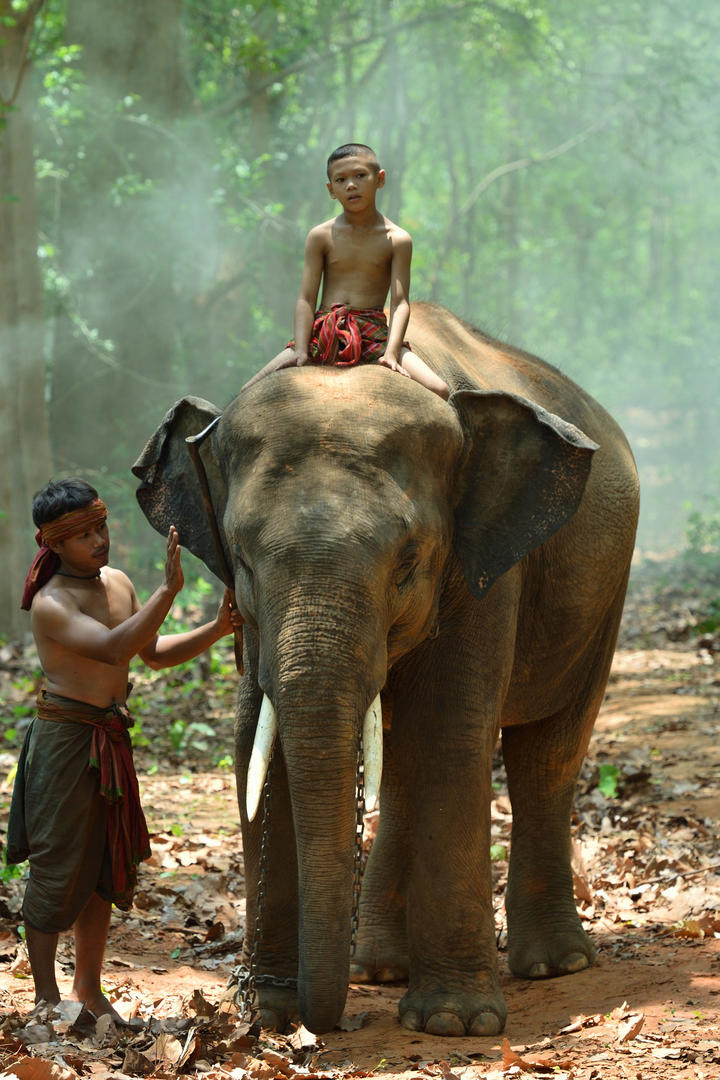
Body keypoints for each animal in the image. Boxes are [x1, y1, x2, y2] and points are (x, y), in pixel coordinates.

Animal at [132, 302, 639, 1036]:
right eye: (242, 558)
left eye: (408, 560)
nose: (318, 1021)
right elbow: (256, 741)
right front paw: (269, 1015)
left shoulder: (484, 571)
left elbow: (453, 732)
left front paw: (454, 1023)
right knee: (401, 767)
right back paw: (377, 969)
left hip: (604, 596)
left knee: (547, 753)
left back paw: (554, 965)